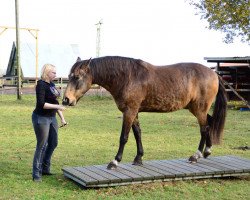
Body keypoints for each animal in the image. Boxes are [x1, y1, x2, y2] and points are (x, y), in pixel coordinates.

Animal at [62, 55, 227, 169]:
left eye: (77, 77)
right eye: (69, 77)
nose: (66, 100)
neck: (127, 77)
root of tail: (214, 74)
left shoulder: (129, 111)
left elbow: (124, 137)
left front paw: (115, 161)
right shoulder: (134, 112)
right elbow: (137, 134)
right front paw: (138, 158)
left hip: (199, 109)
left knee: (204, 128)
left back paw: (196, 155)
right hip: (197, 108)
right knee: (210, 123)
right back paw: (207, 151)